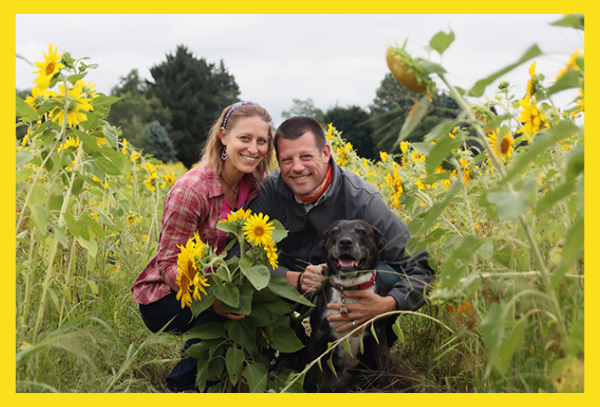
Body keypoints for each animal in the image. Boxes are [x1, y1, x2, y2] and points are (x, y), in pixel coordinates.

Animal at [304, 222, 394, 394]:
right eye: (335, 231)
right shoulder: (318, 335)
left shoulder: (378, 334)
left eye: (361, 231)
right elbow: (309, 373)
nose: (345, 242)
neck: (349, 288)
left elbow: (385, 372)